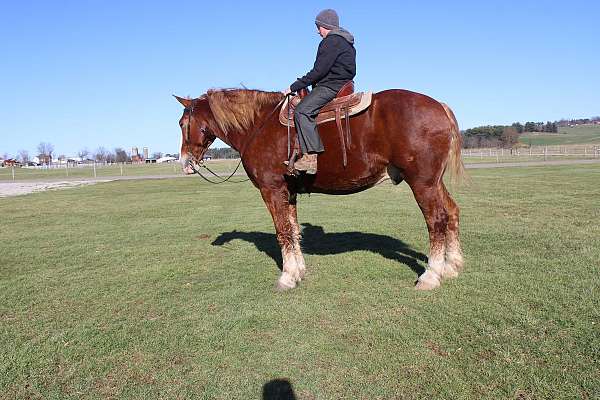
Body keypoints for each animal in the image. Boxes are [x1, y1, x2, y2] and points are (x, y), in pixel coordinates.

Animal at [173, 89, 464, 290]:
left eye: (181, 123)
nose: (185, 163)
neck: (259, 126)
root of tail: (440, 106)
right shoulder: (288, 192)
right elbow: (293, 230)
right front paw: (298, 271)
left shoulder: (272, 190)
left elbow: (282, 232)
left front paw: (287, 277)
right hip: (434, 182)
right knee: (452, 212)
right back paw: (452, 266)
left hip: (422, 183)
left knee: (436, 220)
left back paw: (431, 275)